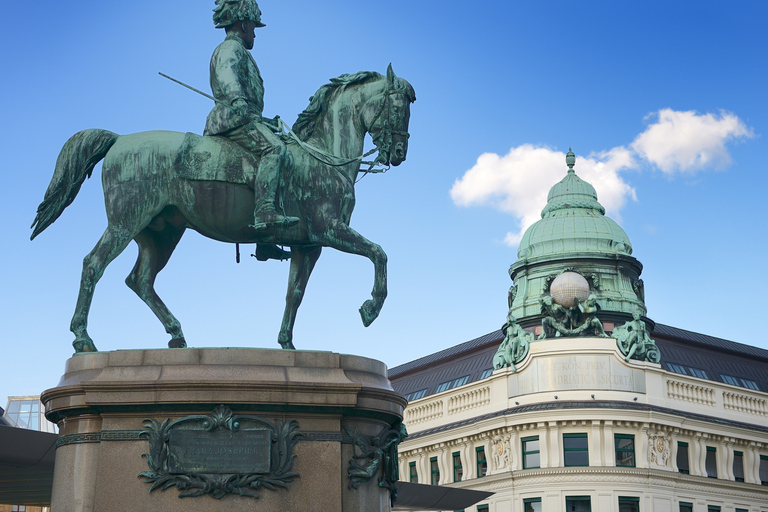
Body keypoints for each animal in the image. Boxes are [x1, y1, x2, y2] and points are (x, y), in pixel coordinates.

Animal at [31, 65, 414, 352]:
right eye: (399, 108)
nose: (398, 153)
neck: (323, 156)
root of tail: (120, 139)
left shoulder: (308, 245)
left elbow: (294, 294)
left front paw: (287, 344)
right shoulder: (329, 229)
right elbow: (379, 253)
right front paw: (371, 307)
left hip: (161, 234)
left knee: (140, 280)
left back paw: (176, 333)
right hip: (126, 222)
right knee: (93, 265)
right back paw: (82, 337)